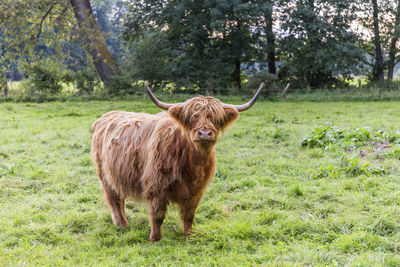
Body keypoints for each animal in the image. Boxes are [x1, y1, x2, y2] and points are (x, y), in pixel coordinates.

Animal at [92, 83, 264, 243]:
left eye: (216, 118)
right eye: (192, 117)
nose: (205, 133)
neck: (191, 162)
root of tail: (107, 115)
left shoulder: (196, 190)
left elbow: (189, 215)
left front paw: (189, 236)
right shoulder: (156, 186)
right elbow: (158, 215)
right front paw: (155, 238)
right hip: (105, 176)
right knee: (114, 200)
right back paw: (122, 224)